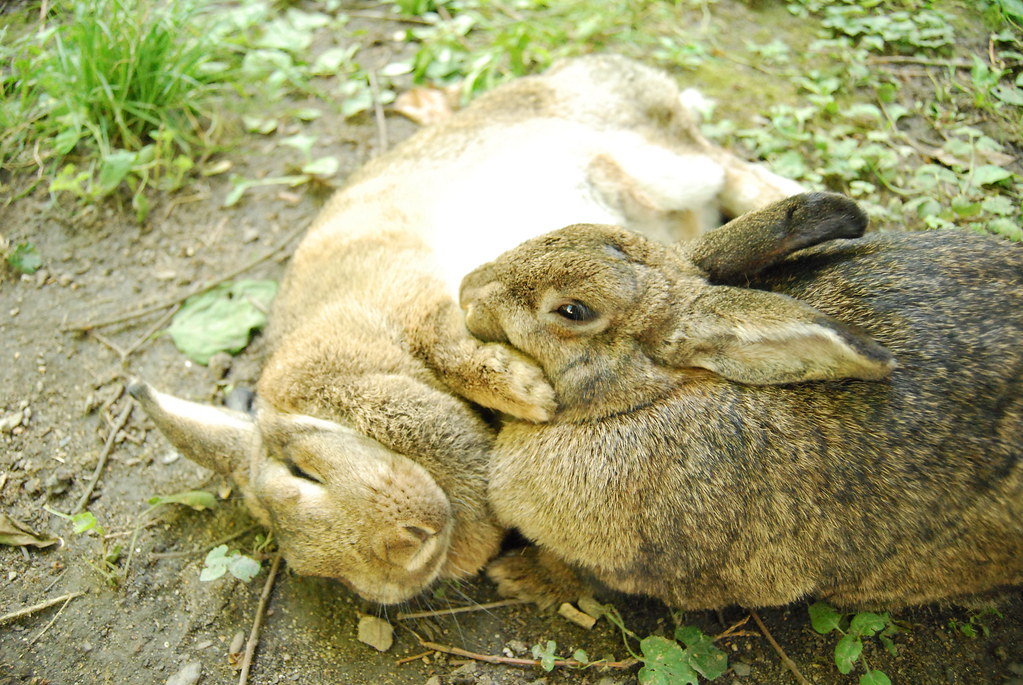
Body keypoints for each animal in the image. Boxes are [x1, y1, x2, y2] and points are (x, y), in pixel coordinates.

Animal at [130, 54, 805, 605]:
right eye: (318, 573)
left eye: (302, 472)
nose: (405, 556)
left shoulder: (414, 296)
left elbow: (452, 343)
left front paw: (528, 395)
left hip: (662, 158)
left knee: (730, 168)